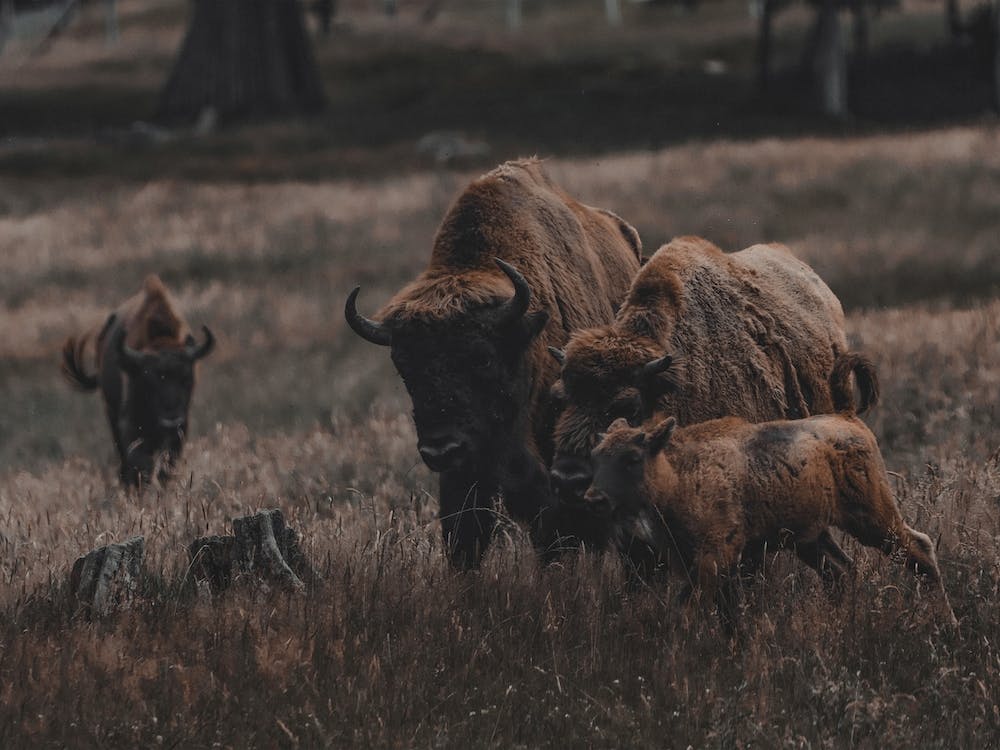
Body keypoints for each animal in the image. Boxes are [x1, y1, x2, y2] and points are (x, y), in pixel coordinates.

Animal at [61, 275, 215, 486]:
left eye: (187, 377)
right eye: (149, 379)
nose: (171, 416)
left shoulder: (180, 430)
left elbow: (167, 465)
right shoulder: (130, 426)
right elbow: (140, 461)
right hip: (112, 414)